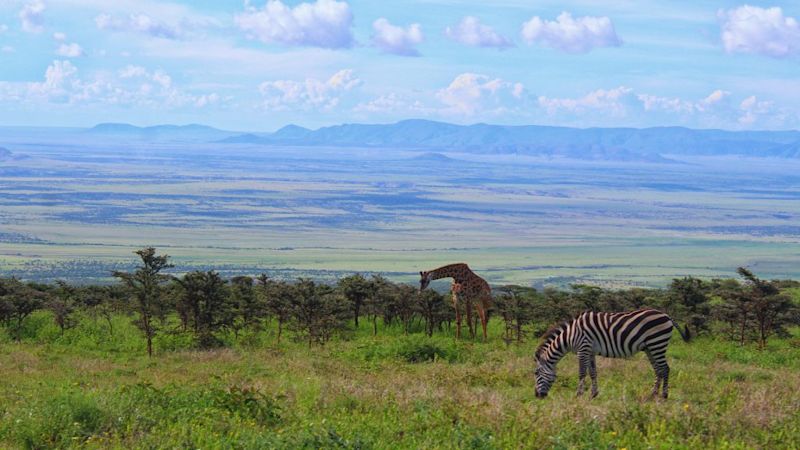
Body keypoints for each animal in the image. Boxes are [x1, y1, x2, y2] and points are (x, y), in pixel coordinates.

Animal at [532, 308, 688, 400]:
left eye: (536, 373)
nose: (537, 396)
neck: (570, 336)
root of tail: (666, 315)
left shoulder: (583, 349)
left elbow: (582, 373)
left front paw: (578, 394)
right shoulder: (590, 351)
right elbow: (593, 373)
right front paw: (593, 394)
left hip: (657, 343)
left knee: (665, 368)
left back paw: (664, 395)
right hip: (650, 348)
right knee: (658, 369)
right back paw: (652, 395)